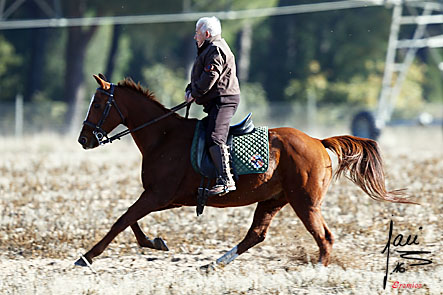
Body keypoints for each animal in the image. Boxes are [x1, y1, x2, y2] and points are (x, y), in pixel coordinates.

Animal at [75, 73, 416, 268]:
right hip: (273, 200)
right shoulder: (165, 198)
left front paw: (87, 256)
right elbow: (130, 220)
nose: (83, 139)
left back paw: (318, 268)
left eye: (97, 104)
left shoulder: (158, 195)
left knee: (325, 237)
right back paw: (213, 264)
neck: (163, 135)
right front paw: (154, 242)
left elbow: (122, 220)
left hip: (305, 203)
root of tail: (318, 142)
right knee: (256, 235)